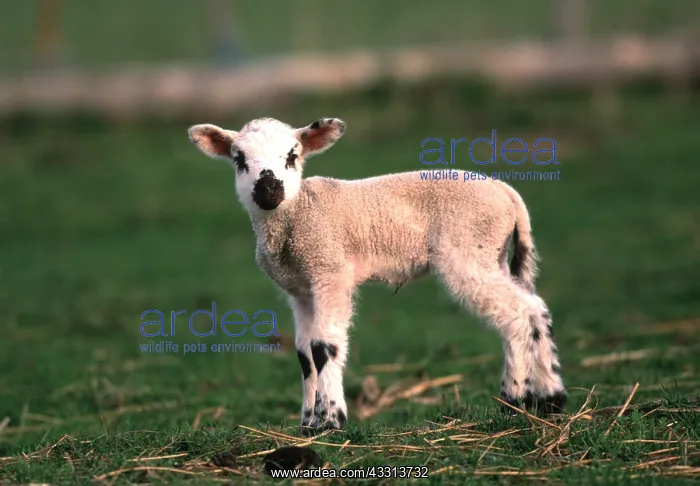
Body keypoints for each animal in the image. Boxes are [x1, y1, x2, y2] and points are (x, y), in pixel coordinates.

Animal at [187, 117, 567, 435]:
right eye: (239, 159)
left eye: (292, 156)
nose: (269, 191)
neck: (298, 212)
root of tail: (509, 194)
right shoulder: (301, 290)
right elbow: (305, 355)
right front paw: (308, 423)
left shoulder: (330, 272)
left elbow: (324, 347)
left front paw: (331, 421)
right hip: (493, 254)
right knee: (532, 309)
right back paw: (549, 397)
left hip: (469, 250)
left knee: (517, 313)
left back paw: (514, 399)